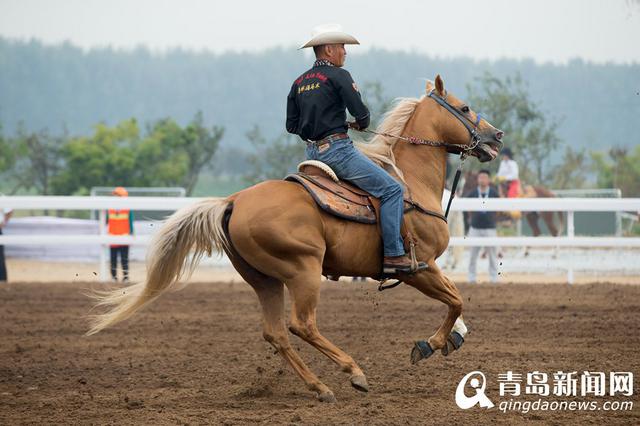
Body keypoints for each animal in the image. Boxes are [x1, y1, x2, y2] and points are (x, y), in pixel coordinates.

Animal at [86, 75, 504, 402]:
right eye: (465, 107)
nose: (496, 135)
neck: (408, 181)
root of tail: (232, 201)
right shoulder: (418, 267)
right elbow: (455, 299)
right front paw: (430, 344)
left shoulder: (427, 268)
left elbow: (455, 300)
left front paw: (453, 337)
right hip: (303, 270)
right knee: (302, 325)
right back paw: (353, 372)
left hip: (265, 279)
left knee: (276, 333)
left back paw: (320, 387)